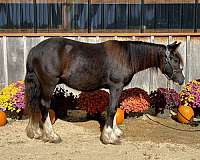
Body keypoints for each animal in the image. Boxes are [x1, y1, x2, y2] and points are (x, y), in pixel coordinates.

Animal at [24, 37, 184, 144]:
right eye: (175, 60)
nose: (181, 80)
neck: (127, 57)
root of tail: (34, 50)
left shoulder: (117, 88)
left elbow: (115, 108)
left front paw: (116, 132)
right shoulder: (116, 86)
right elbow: (112, 109)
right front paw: (109, 137)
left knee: (35, 104)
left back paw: (35, 132)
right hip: (48, 84)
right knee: (44, 106)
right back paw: (52, 135)